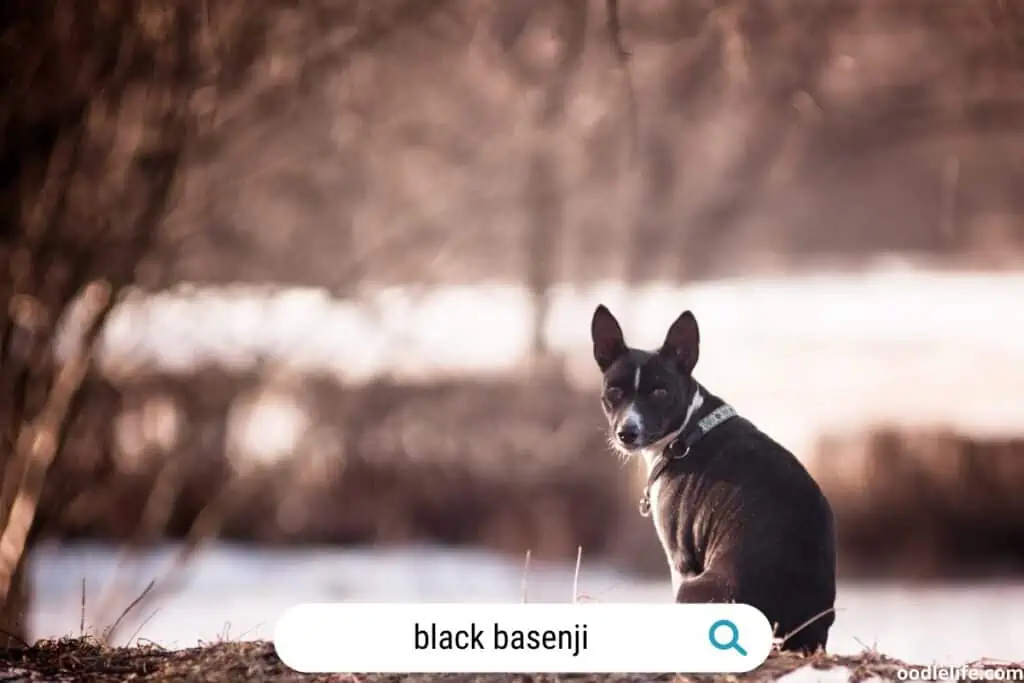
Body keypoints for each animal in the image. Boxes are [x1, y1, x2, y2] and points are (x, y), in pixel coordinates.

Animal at [589, 305, 835, 651]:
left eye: (660, 391)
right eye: (614, 391)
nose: (627, 432)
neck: (687, 431)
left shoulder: (680, 560)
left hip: (694, 589)